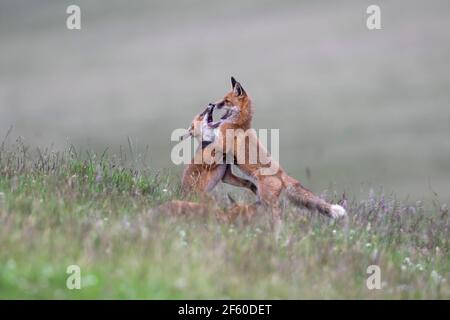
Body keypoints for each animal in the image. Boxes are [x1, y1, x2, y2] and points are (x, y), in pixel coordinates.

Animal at [207, 77, 348, 220]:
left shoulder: (222, 144)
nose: (212, 104)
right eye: (222, 99)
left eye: (226, 101)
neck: (239, 123)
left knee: (277, 216)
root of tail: (282, 174)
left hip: (268, 201)